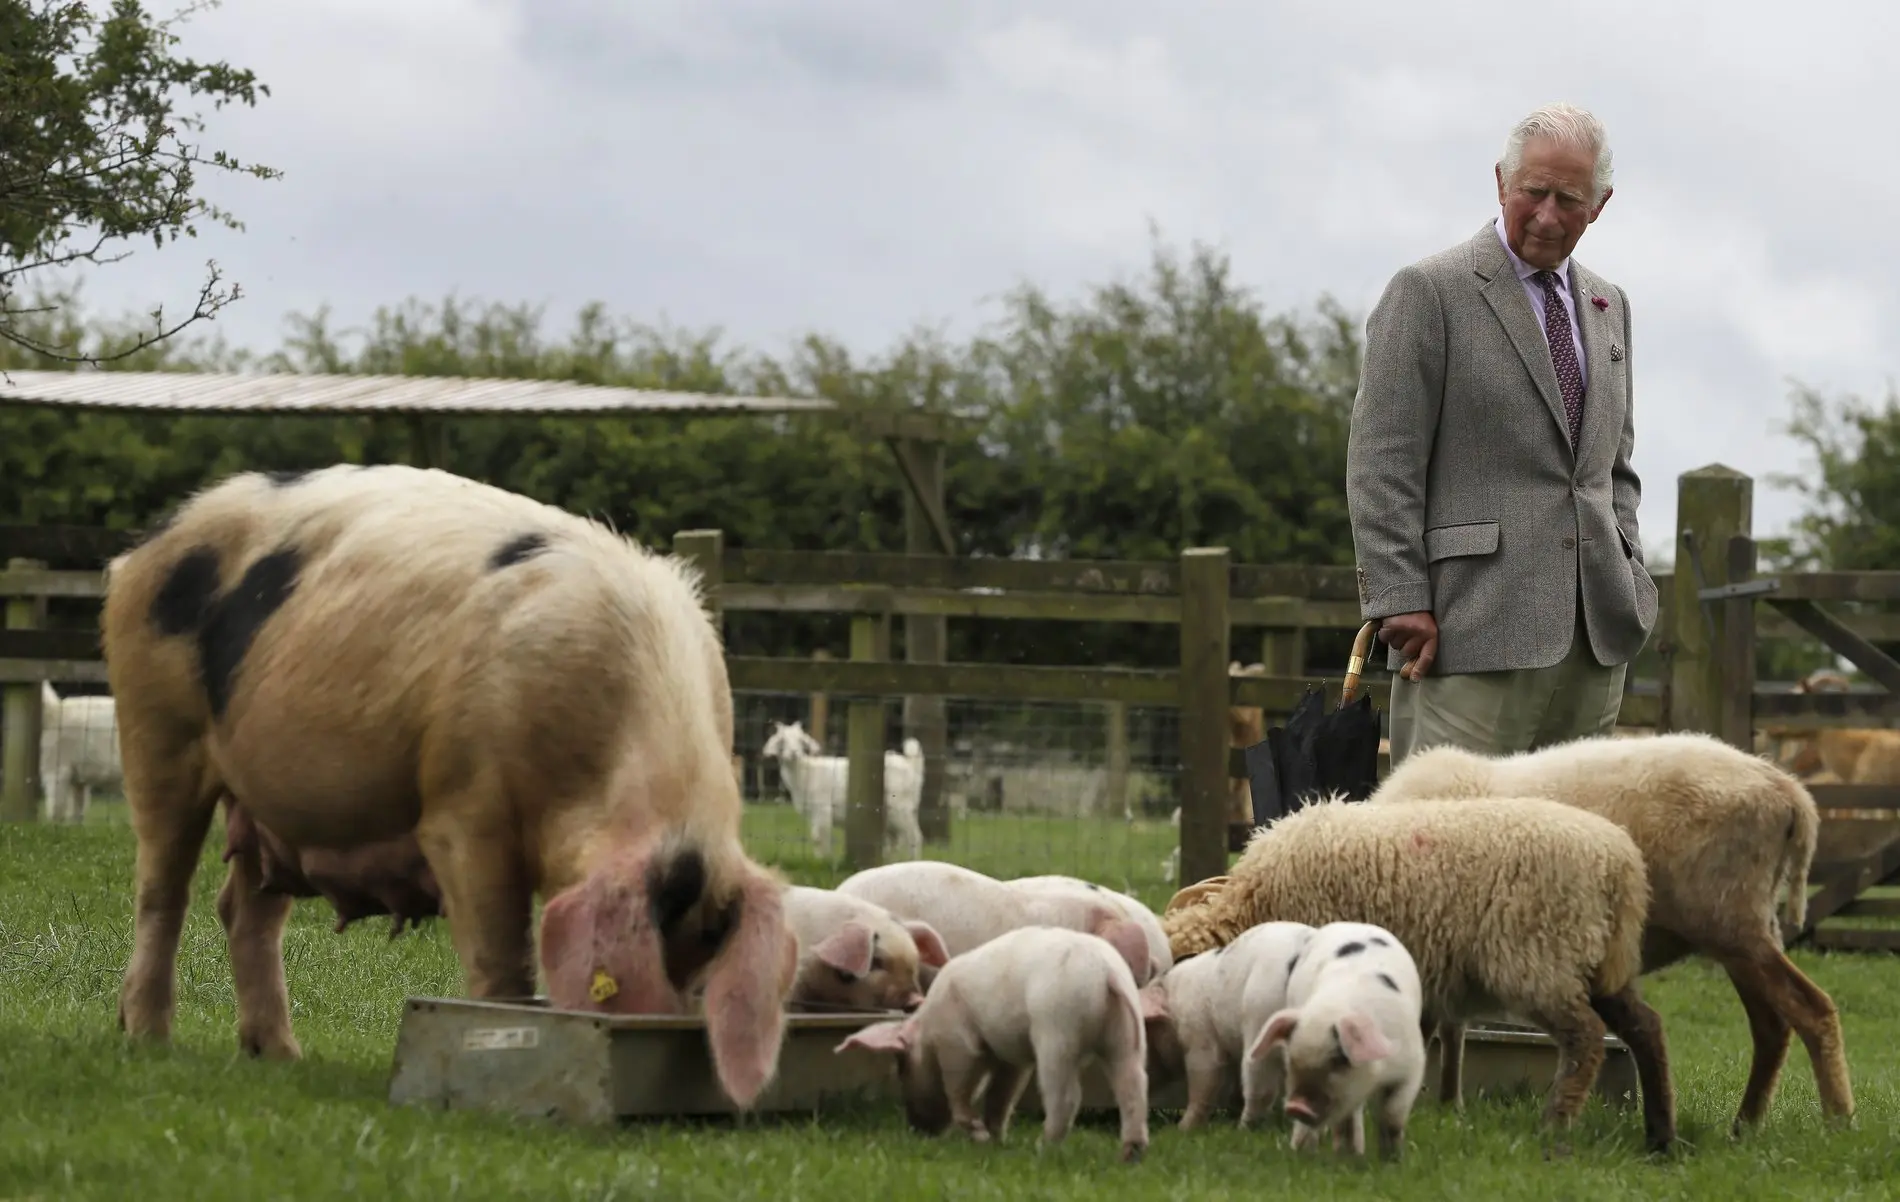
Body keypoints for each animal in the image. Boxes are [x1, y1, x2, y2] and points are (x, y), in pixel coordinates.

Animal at [100, 461, 798, 1108]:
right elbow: (502, 954)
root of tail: (150, 540)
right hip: (155, 726)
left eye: (704, 961)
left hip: (266, 802)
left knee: (245, 909)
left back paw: (280, 1056)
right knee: (163, 891)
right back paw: (148, 1039)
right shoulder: (463, 807)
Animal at [763, 717, 927, 858]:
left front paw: (823, 860)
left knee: (914, 837)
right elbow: (816, 838)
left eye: (801, 741)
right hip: (888, 813)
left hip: (901, 807)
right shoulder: (813, 813)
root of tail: (911, 765)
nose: (794, 753)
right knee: (894, 840)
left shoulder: (823, 809)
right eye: (782, 741)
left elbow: (820, 838)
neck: (806, 773)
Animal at [1155, 786, 1679, 1154]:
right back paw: (1660, 1135)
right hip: (1595, 963)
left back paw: (1556, 1123)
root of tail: (1621, 864)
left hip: (1539, 958)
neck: (1255, 905)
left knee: (1585, 1039)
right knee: (1647, 1029)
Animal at [1375, 725, 1846, 1131]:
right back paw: (1745, 1127)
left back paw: (1838, 1122)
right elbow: (1450, 1027)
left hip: (1729, 921)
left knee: (1811, 1010)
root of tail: (1785, 789)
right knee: (1772, 1026)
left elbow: (1433, 1026)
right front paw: (1448, 1105)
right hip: (1745, 925)